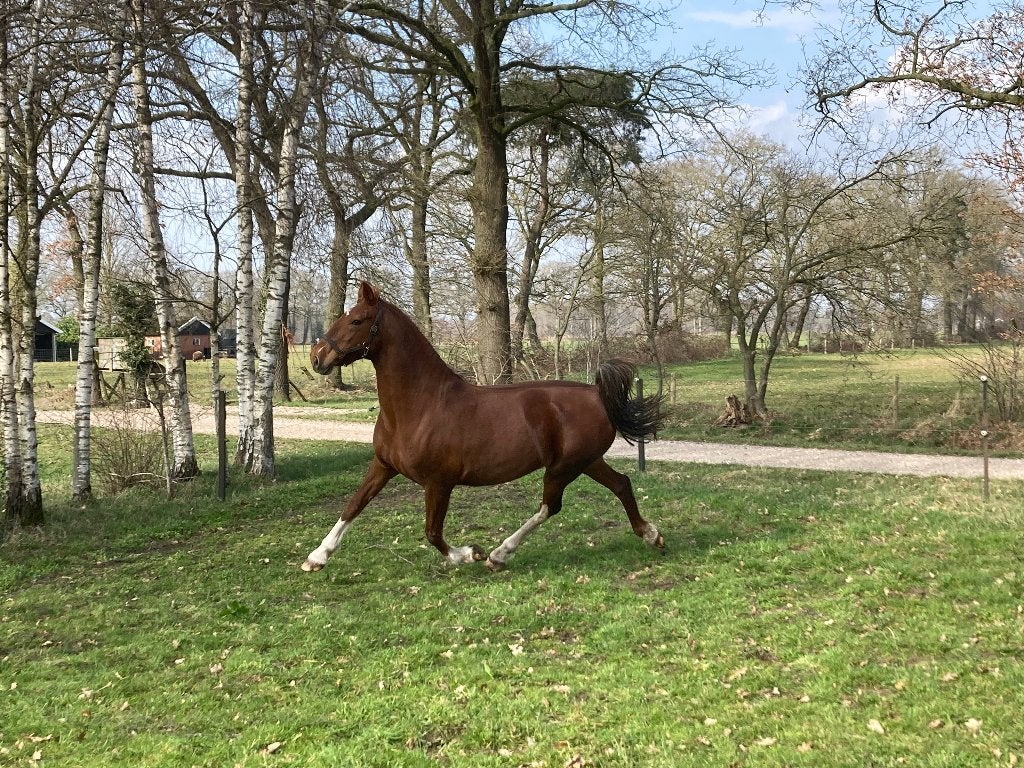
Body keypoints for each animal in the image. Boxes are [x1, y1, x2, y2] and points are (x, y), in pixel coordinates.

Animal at [303, 281, 665, 572]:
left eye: (356, 320)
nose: (317, 357)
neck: (419, 407)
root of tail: (596, 394)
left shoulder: (439, 482)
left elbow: (432, 532)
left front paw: (470, 553)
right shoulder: (382, 465)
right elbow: (353, 505)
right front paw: (317, 557)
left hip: (564, 467)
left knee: (549, 507)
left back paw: (498, 555)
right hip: (587, 461)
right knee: (621, 484)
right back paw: (651, 534)